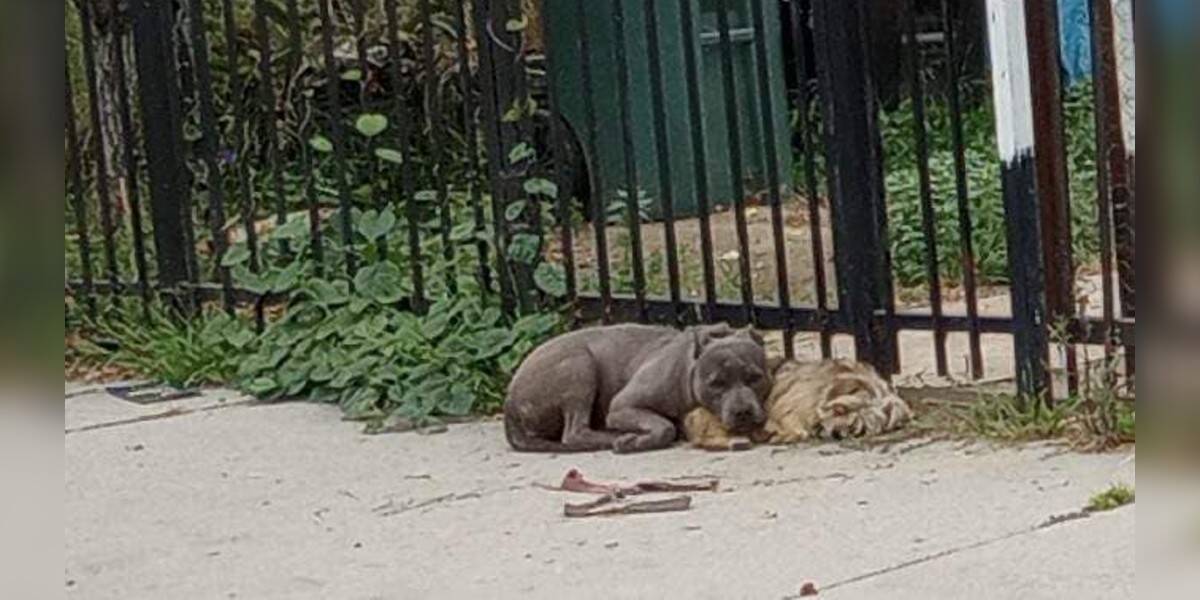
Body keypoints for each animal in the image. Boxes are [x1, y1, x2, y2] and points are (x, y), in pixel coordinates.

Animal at [504, 326, 768, 451]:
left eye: (755, 377)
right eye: (716, 384)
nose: (743, 411)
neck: (687, 369)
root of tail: (509, 402)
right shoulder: (622, 406)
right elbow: (665, 427)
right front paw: (638, 441)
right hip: (579, 365)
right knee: (574, 432)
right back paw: (616, 437)